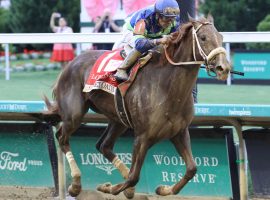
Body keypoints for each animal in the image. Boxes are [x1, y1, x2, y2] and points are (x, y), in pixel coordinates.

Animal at [43, 16, 230, 198]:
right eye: (203, 37)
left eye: (221, 37)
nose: (224, 68)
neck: (167, 87)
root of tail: (71, 63)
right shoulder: (142, 136)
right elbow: (134, 176)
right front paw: (109, 187)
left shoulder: (179, 132)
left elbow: (192, 168)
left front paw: (163, 189)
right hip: (74, 114)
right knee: (62, 138)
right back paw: (75, 185)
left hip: (119, 120)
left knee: (104, 146)